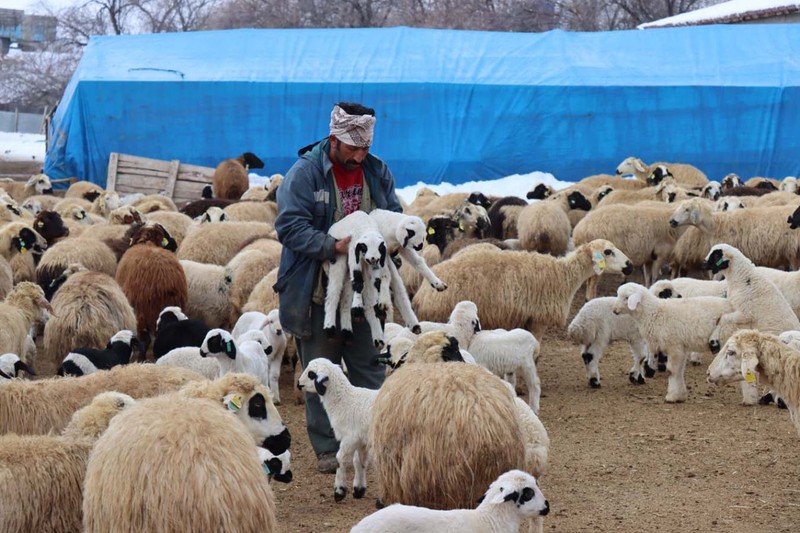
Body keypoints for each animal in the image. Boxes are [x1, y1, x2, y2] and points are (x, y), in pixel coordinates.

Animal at [296, 358, 378, 498]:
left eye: (311, 374)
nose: (298, 384)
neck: (344, 401)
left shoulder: (350, 437)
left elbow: (340, 458)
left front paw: (339, 490)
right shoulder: (361, 439)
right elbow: (358, 461)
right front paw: (359, 489)